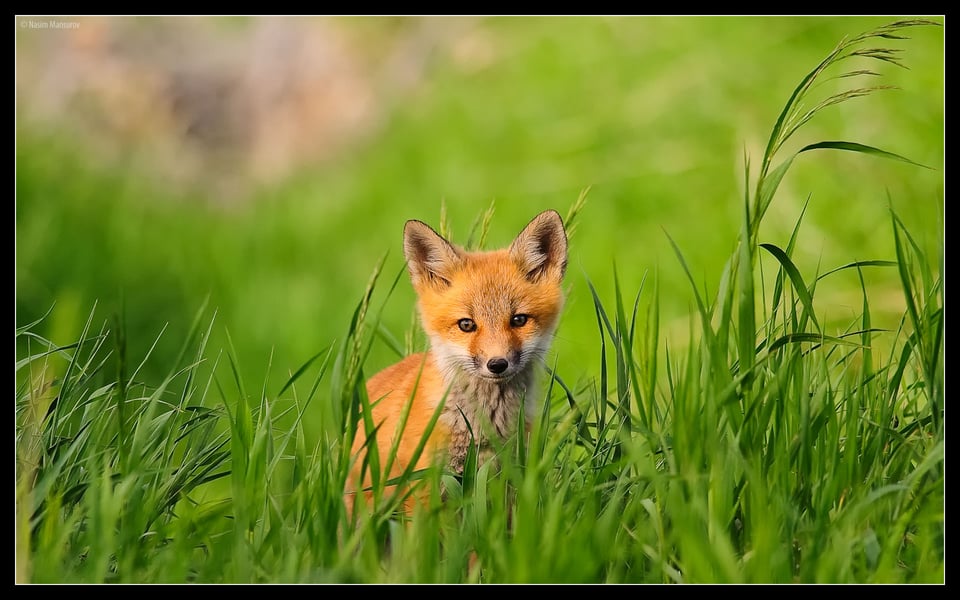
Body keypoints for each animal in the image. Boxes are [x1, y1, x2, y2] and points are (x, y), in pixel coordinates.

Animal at [348, 210, 568, 510]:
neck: (485, 428)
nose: (497, 364)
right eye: (466, 325)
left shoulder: (511, 480)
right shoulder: (424, 489)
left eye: (519, 320)